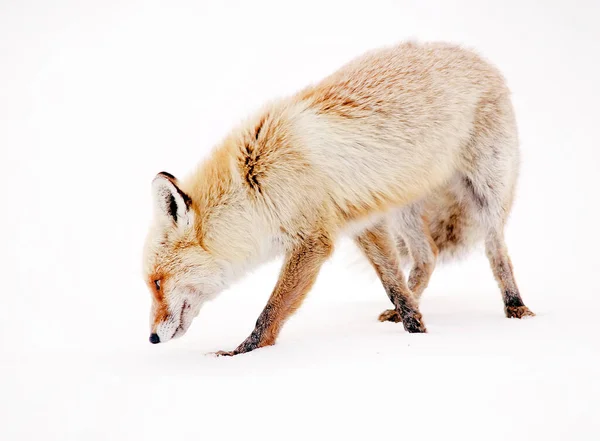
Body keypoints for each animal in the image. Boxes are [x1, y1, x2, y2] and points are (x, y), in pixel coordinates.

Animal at [142, 41, 536, 356]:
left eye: (157, 283)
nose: (151, 339)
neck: (255, 185)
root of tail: (477, 56)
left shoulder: (312, 242)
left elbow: (271, 311)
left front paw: (242, 353)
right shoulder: (363, 222)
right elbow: (394, 284)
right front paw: (415, 329)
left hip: (486, 195)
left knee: (497, 253)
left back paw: (517, 309)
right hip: (402, 209)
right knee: (427, 257)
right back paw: (400, 312)